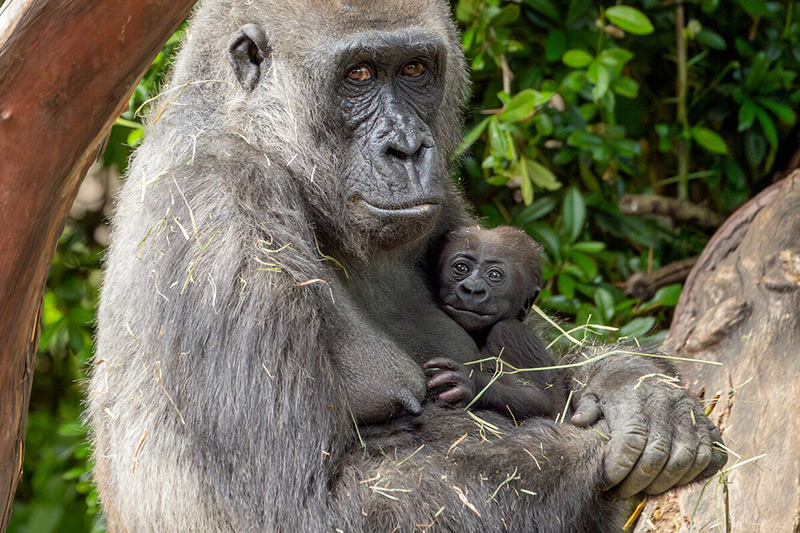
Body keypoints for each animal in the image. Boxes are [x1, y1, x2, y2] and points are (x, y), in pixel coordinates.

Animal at [424, 225, 564, 420]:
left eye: (494, 275)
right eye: (461, 267)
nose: (472, 289)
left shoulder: (510, 333)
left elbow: (536, 398)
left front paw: (471, 384)